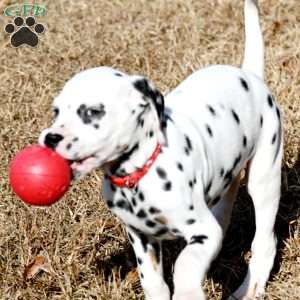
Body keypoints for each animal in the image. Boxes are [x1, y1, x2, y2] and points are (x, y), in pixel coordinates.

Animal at [38, 1, 282, 298]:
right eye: (56, 111)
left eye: (92, 111)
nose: (50, 138)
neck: (141, 169)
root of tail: (249, 75)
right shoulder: (141, 237)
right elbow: (153, 280)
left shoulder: (202, 231)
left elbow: (185, 262)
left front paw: (188, 291)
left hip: (264, 178)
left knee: (265, 241)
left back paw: (250, 288)